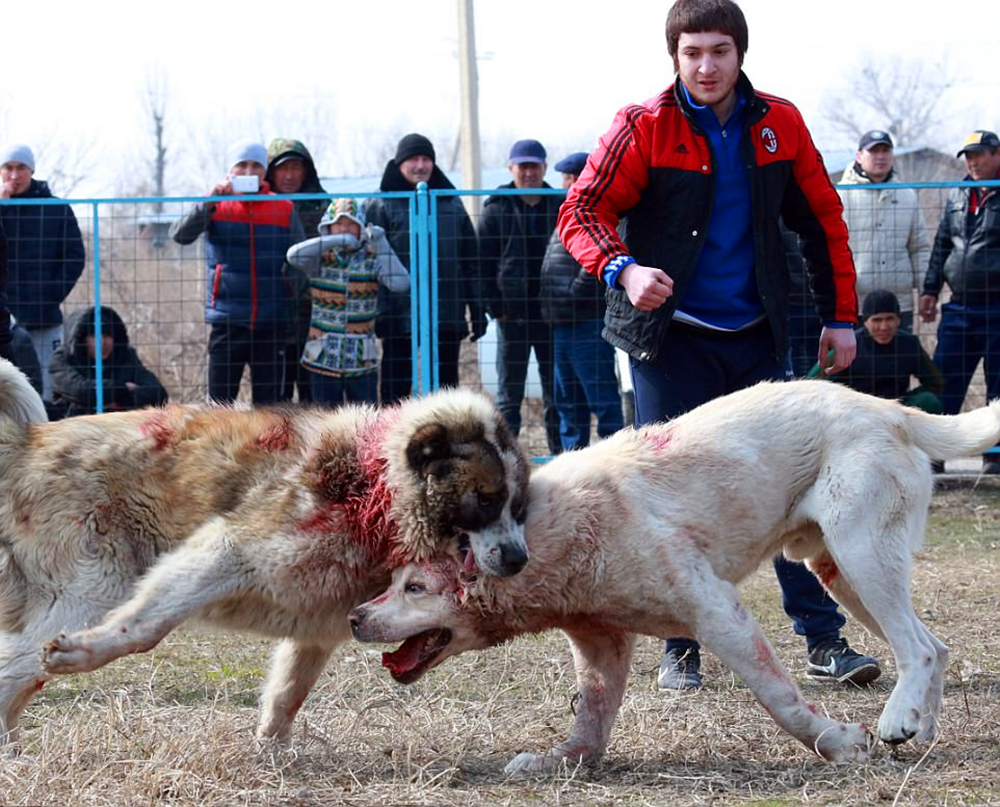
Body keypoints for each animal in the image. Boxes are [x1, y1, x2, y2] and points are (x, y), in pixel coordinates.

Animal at [0, 362, 532, 752]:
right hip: (92, 588)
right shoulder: (228, 550)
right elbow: (144, 628)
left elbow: (287, 694)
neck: (377, 486)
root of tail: (26, 442)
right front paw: (85, 653)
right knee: (18, 667)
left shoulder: (319, 621)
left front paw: (269, 753)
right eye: (486, 500)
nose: (518, 560)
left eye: (519, 508)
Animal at [350, 382, 1000, 772]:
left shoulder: (718, 612)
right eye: (393, 581)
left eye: (415, 588)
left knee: (917, 648)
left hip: (861, 552)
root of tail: (889, 407)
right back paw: (923, 727)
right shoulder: (601, 644)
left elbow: (781, 702)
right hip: (842, 570)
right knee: (936, 647)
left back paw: (895, 721)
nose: (356, 617)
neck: (546, 536)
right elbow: (591, 716)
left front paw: (839, 743)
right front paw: (560, 760)